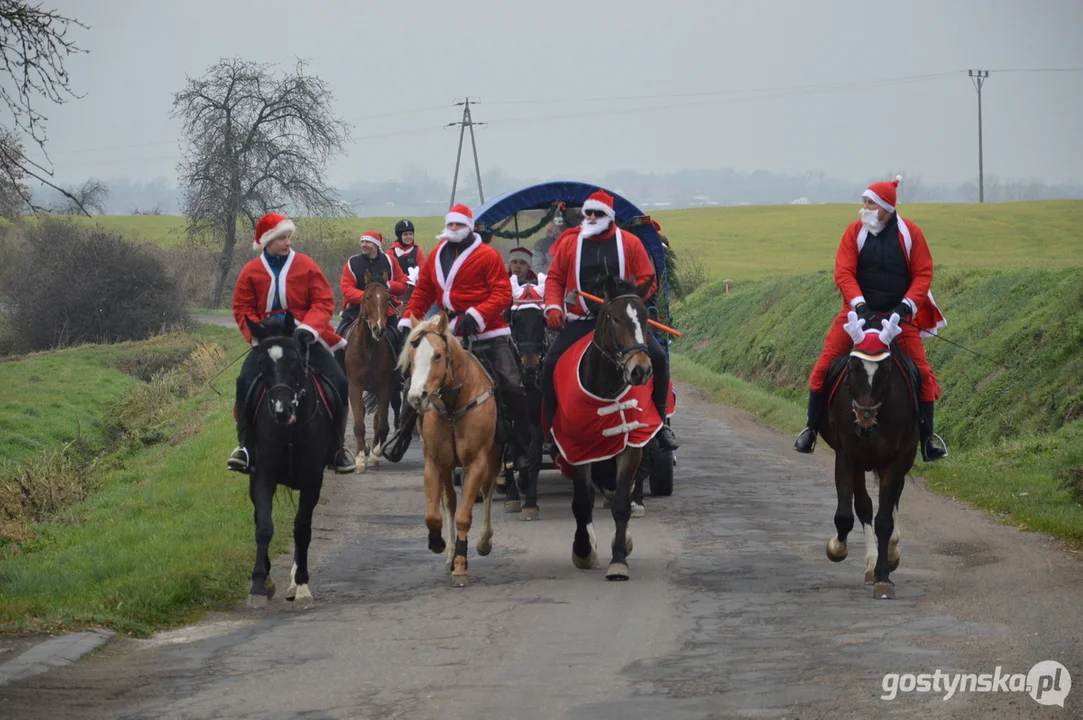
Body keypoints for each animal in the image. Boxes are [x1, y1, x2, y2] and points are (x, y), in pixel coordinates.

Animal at [243, 313, 335, 606]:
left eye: (294, 359)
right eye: (262, 363)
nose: (282, 410)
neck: (290, 429)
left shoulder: (313, 480)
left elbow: (302, 529)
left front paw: (302, 583)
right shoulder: (263, 475)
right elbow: (263, 526)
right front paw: (259, 583)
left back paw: (295, 580)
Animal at [342, 272, 398, 469]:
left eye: (387, 299)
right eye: (366, 297)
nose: (378, 329)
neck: (368, 348)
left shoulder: (384, 386)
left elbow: (381, 424)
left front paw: (375, 453)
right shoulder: (354, 386)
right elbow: (359, 423)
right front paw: (359, 458)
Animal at [396, 311, 500, 588]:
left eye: (437, 356)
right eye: (411, 356)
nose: (416, 397)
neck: (454, 405)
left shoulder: (477, 463)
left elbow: (465, 515)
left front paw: (461, 566)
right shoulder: (435, 463)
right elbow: (435, 514)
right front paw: (439, 543)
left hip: (493, 460)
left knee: (487, 492)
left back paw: (483, 542)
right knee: (450, 502)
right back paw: (451, 553)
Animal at [550, 272, 658, 580]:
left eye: (646, 317)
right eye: (616, 318)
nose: (640, 370)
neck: (606, 387)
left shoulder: (631, 446)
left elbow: (621, 500)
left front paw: (619, 558)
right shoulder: (576, 449)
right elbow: (582, 501)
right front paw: (583, 550)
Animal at [814, 311, 918, 597]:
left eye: (886, 371)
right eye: (852, 367)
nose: (864, 425)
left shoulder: (894, 460)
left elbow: (884, 520)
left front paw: (883, 576)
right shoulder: (847, 457)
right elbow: (849, 513)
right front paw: (837, 549)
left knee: (893, 501)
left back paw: (890, 553)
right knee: (864, 506)